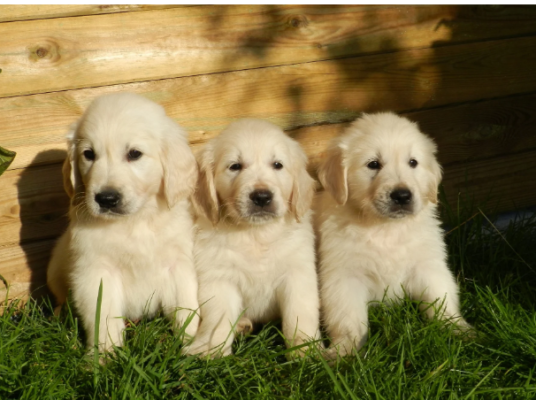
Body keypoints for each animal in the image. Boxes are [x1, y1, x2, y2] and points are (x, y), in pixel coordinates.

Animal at [46, 92, 199, 352]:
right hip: (56, 267)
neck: (134, 222)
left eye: (134, 154)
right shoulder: (96, 271)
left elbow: (187, 306)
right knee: (61, 297)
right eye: (89, 154)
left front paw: (197, 345)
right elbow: (103, 317)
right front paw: (104, 355)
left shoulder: (178, 262)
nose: (106, 199)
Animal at [185, 117, 318, 358]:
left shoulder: (297, 272)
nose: (262, 197)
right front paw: (210, 350)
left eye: (277, 165)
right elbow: (218, 318)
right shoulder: (219, 277)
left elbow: (300, 313)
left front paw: (306, 349)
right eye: (235, 166)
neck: (255, 233)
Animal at [314, 111, 468, 358]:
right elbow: (348, 319)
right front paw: (344, 350)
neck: (385, 227)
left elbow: (441, 299)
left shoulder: (428, 266)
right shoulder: (344, 277)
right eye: (373, 164)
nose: (402, 196)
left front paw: (460, 330)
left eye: (413, 162)